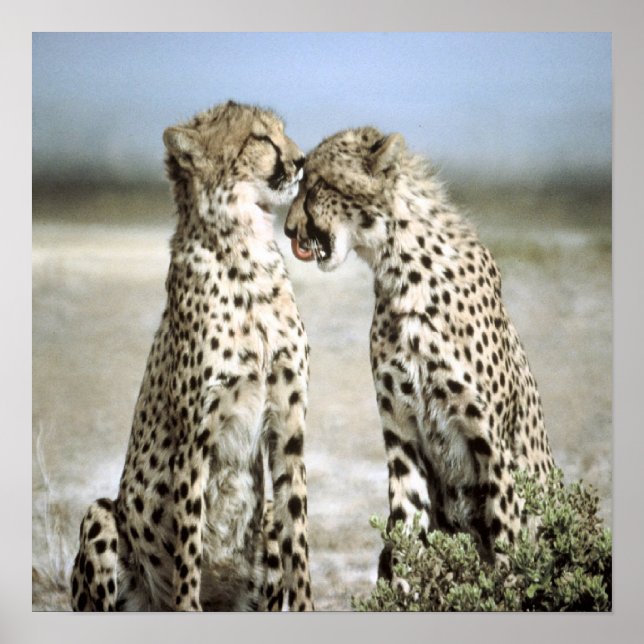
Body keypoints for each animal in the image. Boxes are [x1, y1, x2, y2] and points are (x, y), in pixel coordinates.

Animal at [70, 101, 314, 611]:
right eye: (261, 138)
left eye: (281, 131)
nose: (301, 161)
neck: (246, 252)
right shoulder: (194, 437)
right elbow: (188, 548)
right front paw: (188, 601)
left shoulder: (288, 423)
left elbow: (298, 533)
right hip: (101, 517)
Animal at [284, 126, 556, 581]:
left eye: (318, 184)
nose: (288, 231)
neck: (401, 270)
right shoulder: (403, 438)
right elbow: (405, 533)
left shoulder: (494, 448)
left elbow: (506, 545)